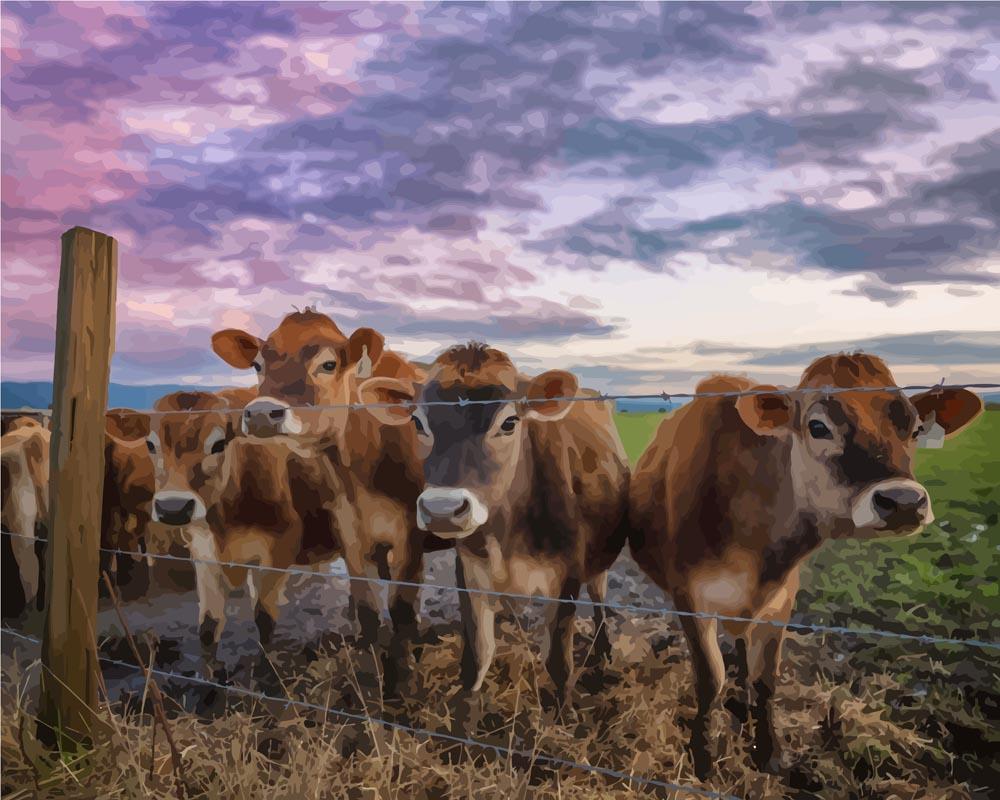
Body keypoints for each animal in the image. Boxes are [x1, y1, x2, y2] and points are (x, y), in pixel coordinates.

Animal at [358, 342, 631, 713]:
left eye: (510, 422)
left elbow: (559, 663)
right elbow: (477, 658)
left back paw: (603, 652)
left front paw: (563, 717)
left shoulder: (567, 578)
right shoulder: (470, 574)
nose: (442, 510)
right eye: (418, 422)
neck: (507, 534)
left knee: (600, 596)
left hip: (600, 557)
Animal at [628, 353, 984, 778]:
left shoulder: (781, 598)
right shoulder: (690, 599)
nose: (903, 501)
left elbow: (766, 679)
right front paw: (703, 760)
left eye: (915, 429)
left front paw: (768, 751)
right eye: (818, 426)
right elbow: (709, 679)